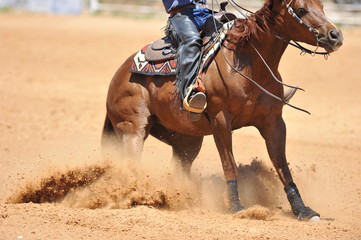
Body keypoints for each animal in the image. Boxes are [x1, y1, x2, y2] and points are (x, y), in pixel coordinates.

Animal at [101, 0, 340, 221]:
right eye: (301, 10)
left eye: (322, 6)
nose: (335, 35)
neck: (248, 62)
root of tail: (119, 73)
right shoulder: (221, 121)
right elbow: (230, 165)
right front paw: (236, 207)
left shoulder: (273, 122)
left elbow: (281, 165)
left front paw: (303, 210)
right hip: (133, 129)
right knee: (130, 162)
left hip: (186, 142)